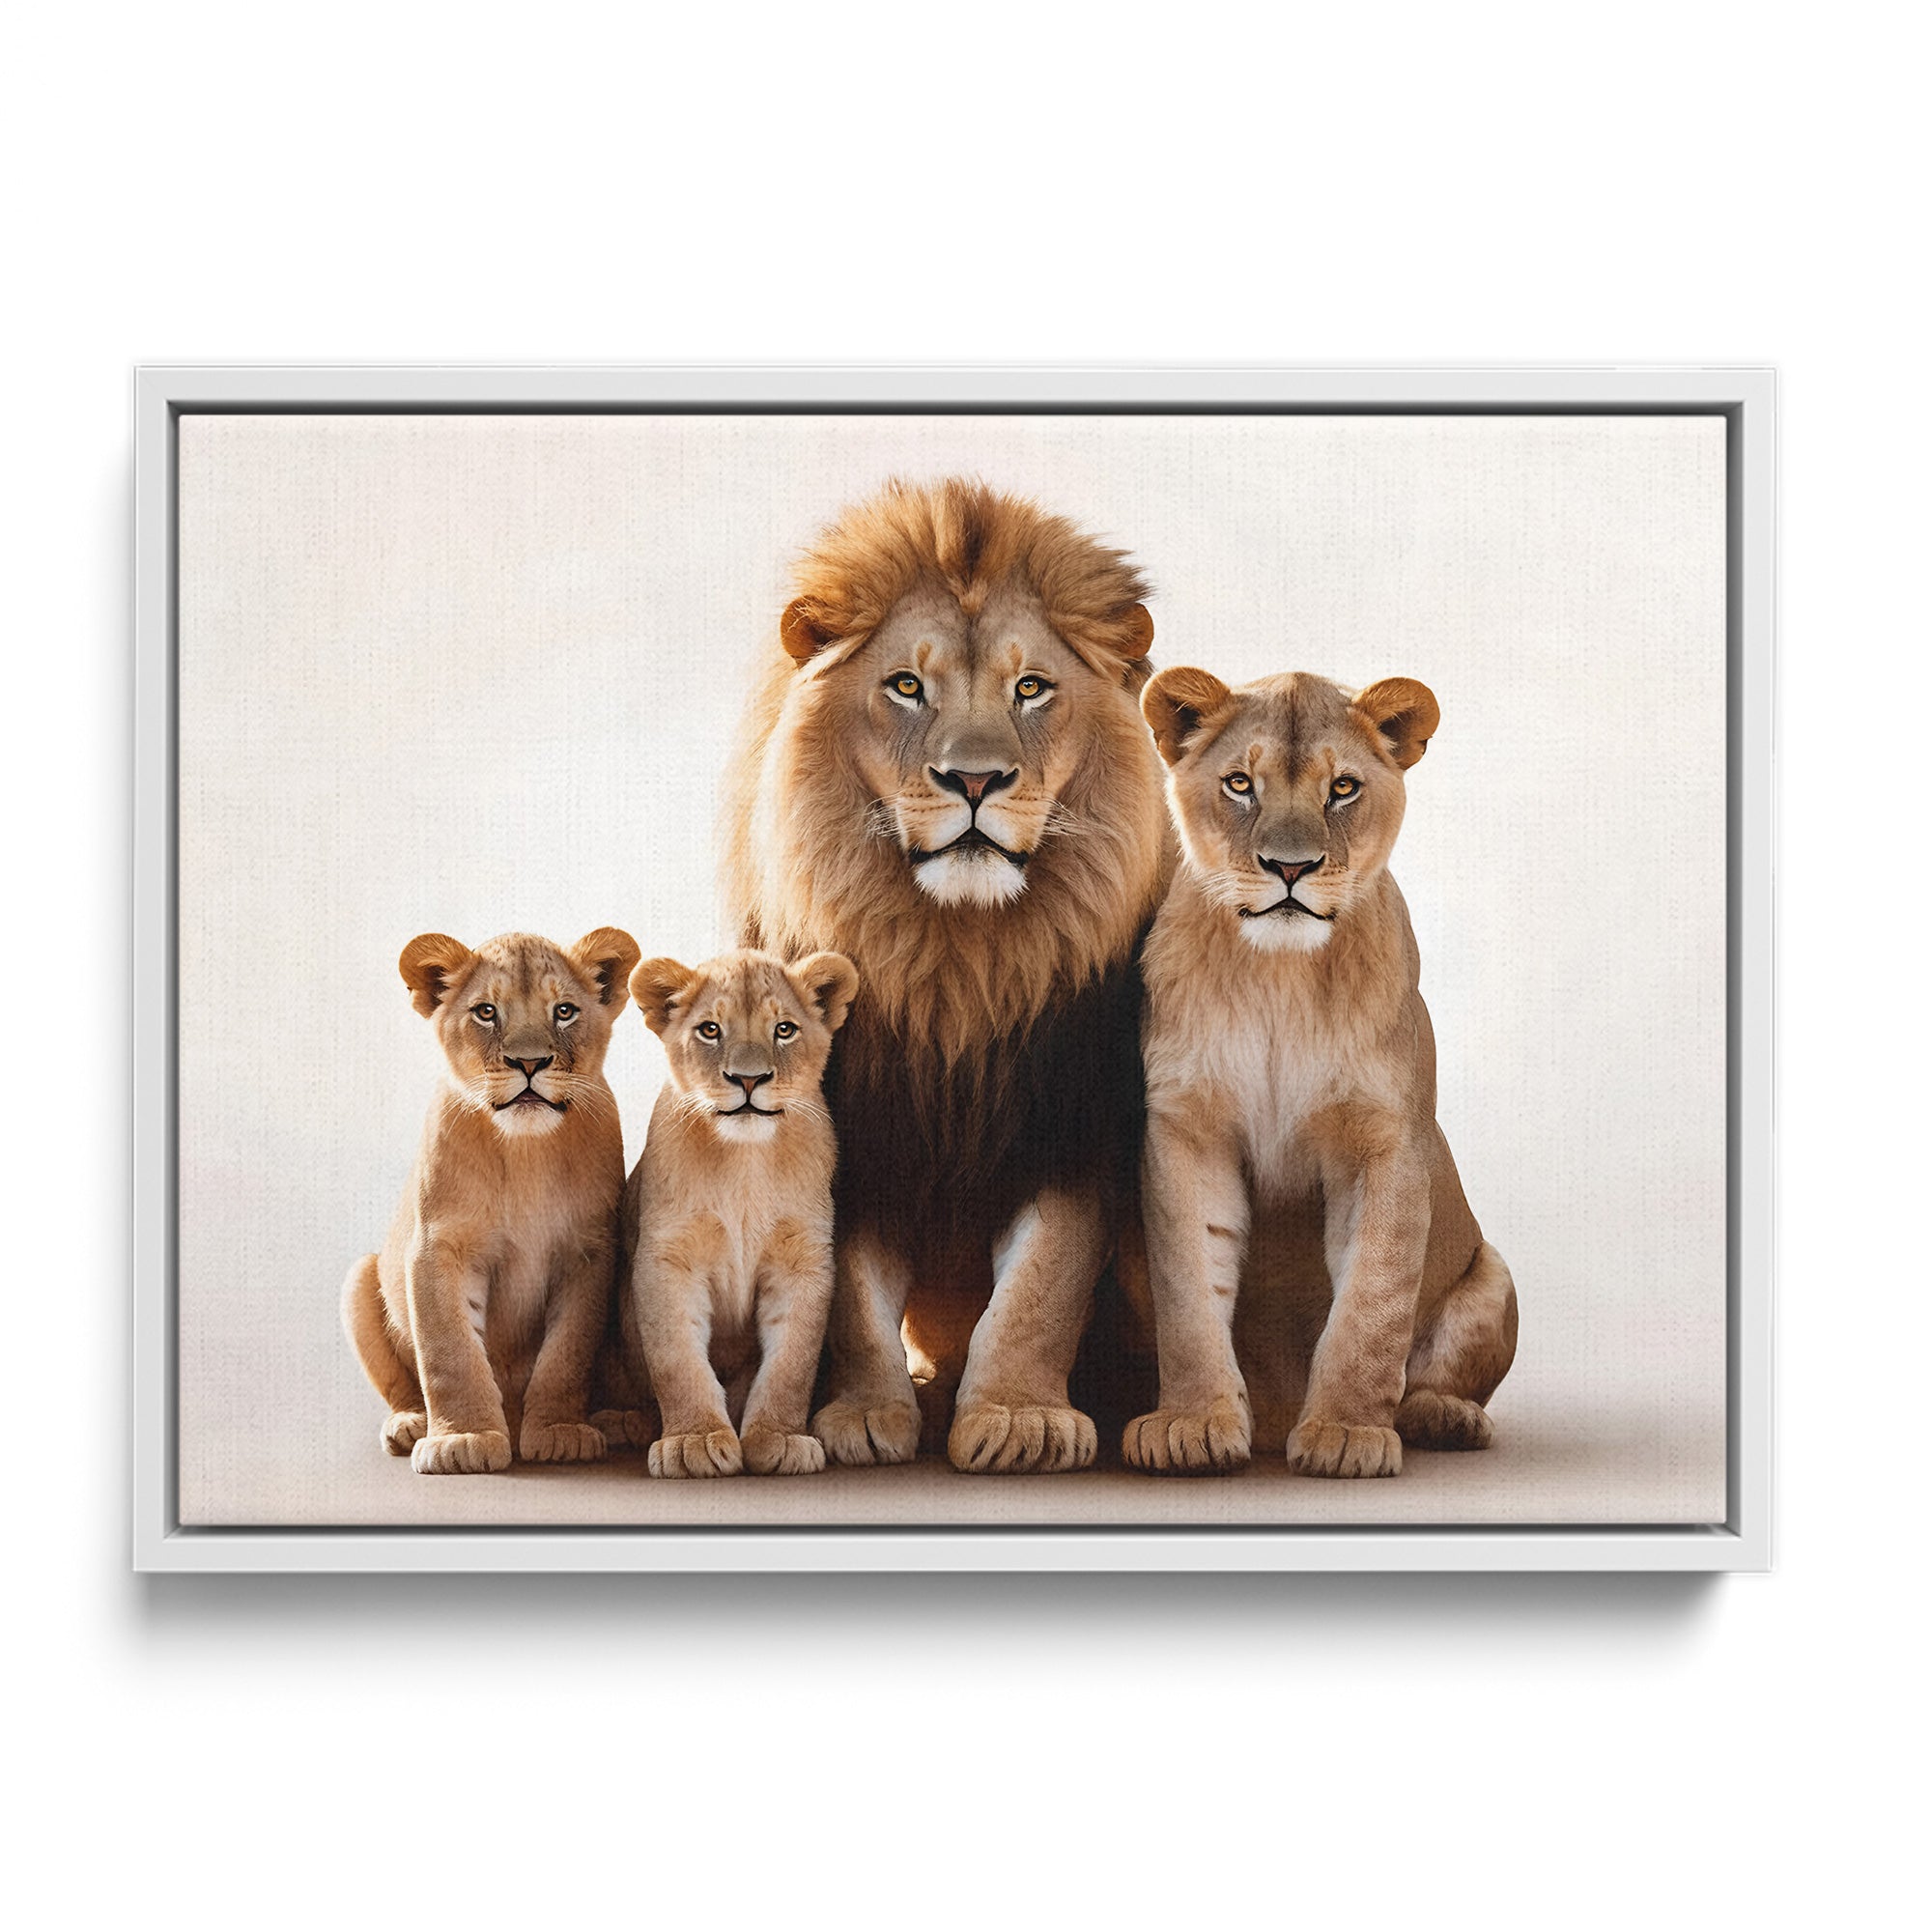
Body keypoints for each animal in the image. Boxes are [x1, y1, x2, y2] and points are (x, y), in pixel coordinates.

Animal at [340, 926, 642, 1474]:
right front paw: (463, 1439)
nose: (529, 1062)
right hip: (358, 1278)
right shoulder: (438, 1247)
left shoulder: (589, 1251)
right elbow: (450, 1351)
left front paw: (560, 1431)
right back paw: (409, 1424)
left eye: (564, 1011)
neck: (524, 1151)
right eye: (486, 1012)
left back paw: (618, 1421)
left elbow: (567, 1353)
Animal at [621, 947, 858, 1478]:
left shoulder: (803, 1260)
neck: (745, 1163)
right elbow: (677, 1359)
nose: (749, 1079)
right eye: (710, 1030)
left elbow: (792, 1363)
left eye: (784, 1029)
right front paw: (692, 1440)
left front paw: (779, 1438)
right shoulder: (668, 1258)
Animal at [721, 478, 1170, 1473]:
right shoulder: (854, 1132)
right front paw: (862, 1416)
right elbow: (851, 1296)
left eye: (1030, 687)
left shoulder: (1076, 1133)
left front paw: (1019, 1418)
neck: (955, 966)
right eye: (907, 686)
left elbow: (1040, 1287)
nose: (975, 781)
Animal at [1123, 668, 1517, 1478]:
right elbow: (1188, 1290)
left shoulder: (1385, 1141)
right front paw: (1191, 1423)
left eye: (1342, 788)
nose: (1291, 868)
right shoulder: (1186, 1130)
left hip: (1494, 1273)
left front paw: (1346, 1432)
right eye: (1241, 784)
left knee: (1440, 1374)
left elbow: (1373, 1301)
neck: (1282, 977)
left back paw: (1443, 1417)